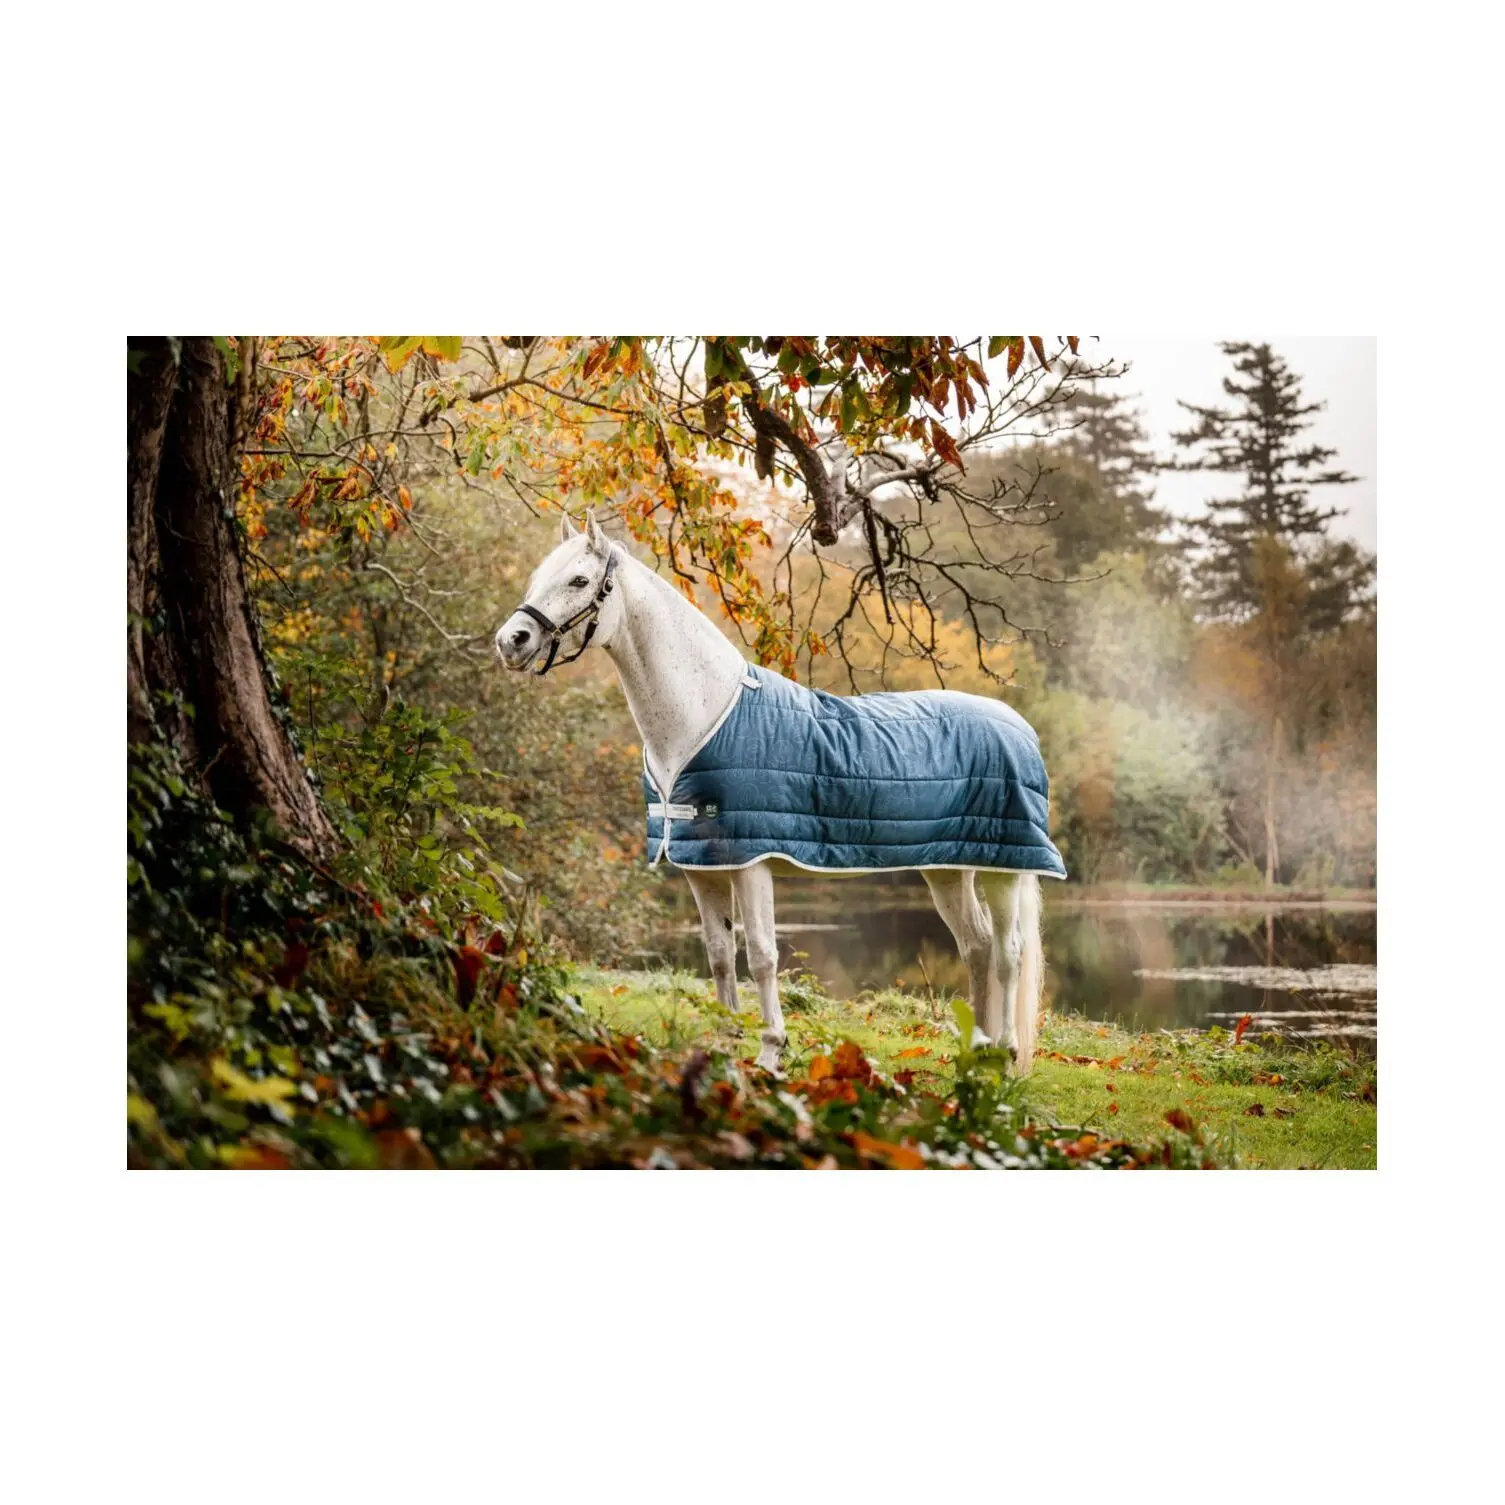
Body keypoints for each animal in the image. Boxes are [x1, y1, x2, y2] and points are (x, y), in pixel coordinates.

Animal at [495, 511, 1067, 1074]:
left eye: (579, 581)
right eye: (537, 577)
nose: (511, 640)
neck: (704, 714)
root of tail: (1020, 726)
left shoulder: (752, 862)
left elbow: (763, 956)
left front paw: (771, 1051)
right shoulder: (703, 866)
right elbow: (719, 955)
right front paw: (726, 1042)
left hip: (1004, 867)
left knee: (1009, 952)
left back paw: (1007, 1056)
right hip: (949, 867)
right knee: (977, 945)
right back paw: (977, 1055)